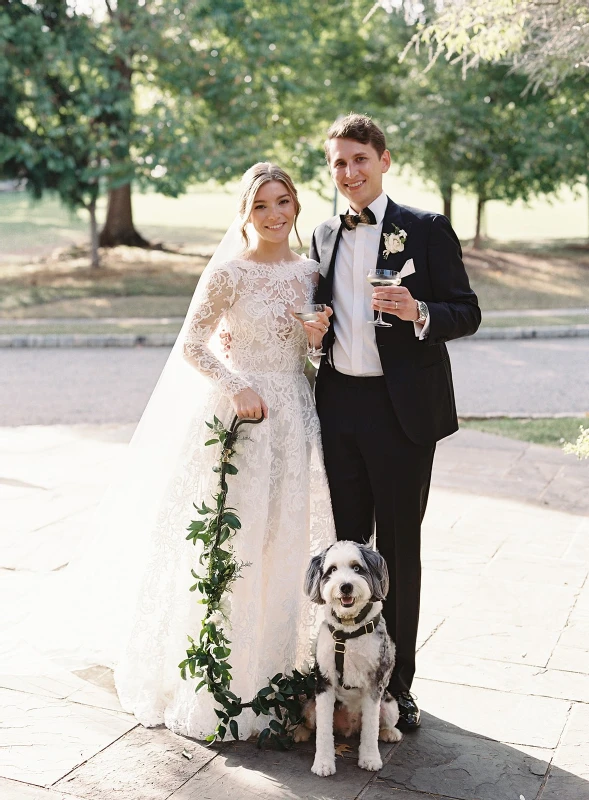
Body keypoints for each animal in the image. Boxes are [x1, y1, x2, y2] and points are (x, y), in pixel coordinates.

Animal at [296, 540, 402, 780]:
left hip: (390, 706)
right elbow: (324, 731)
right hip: (309, 705)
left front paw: (370, 759)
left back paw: (391, 733)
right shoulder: (324, 683)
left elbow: (371, 728)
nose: (345, 586)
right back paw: (298, 732)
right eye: (332, 570)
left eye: (357, 568)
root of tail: (349, 727)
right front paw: (323, 763)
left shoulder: (374, 683)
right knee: (311, 723)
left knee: (382, 724)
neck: (349, 628)